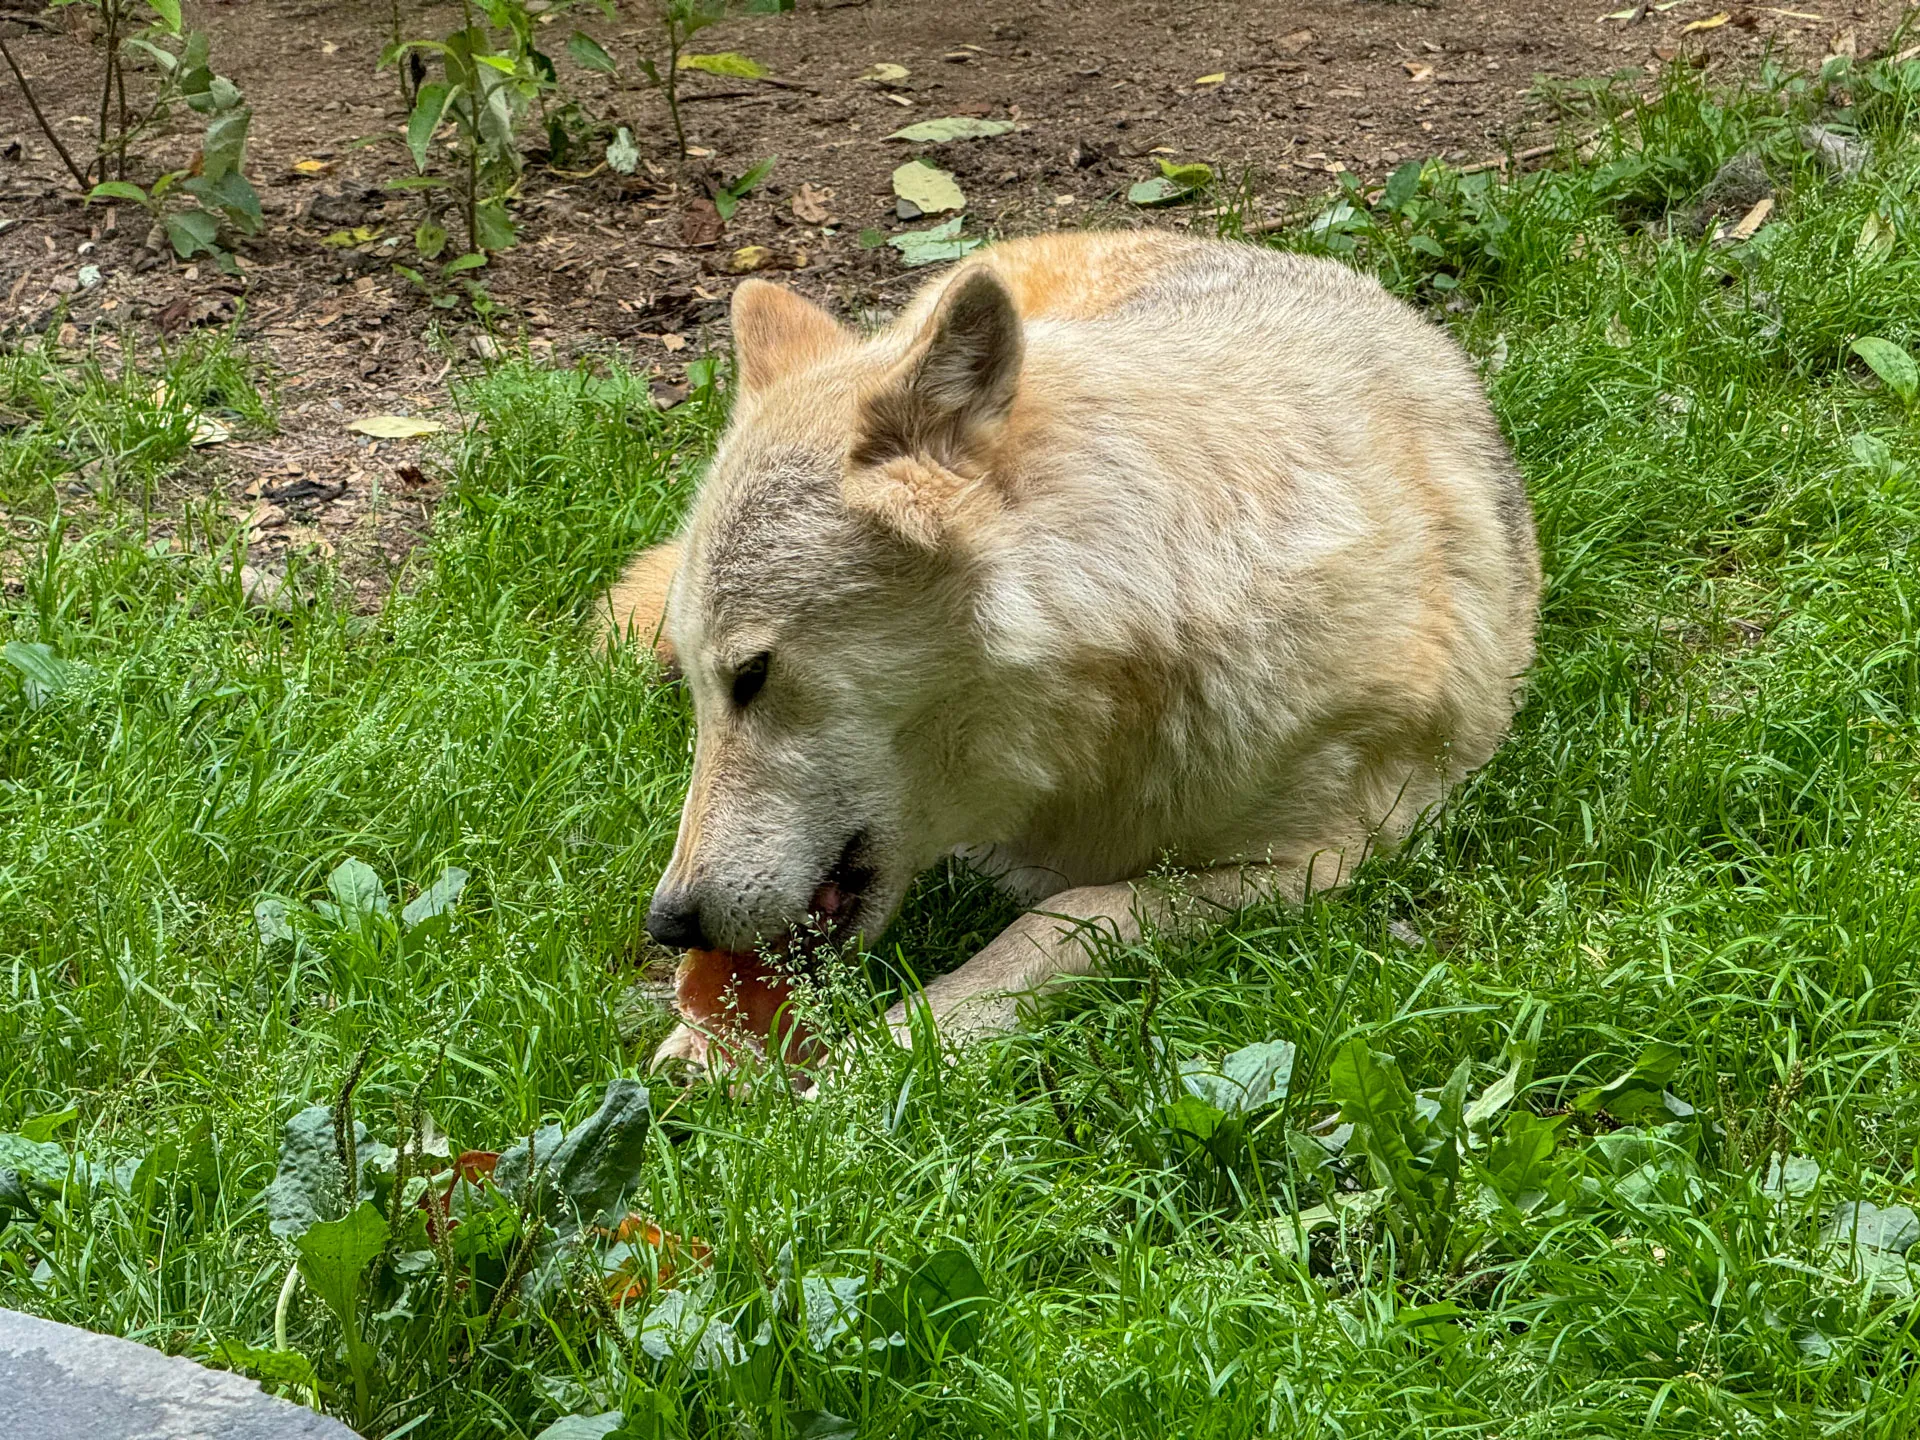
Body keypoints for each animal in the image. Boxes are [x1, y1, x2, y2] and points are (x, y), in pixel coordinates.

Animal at [605, 231, 1540, 1068]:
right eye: (701, 690)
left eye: (751, 676)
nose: (668, 922)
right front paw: (702, 1037)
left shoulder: (1329, 863)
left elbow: (1072, 919)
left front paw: (897, 1049)